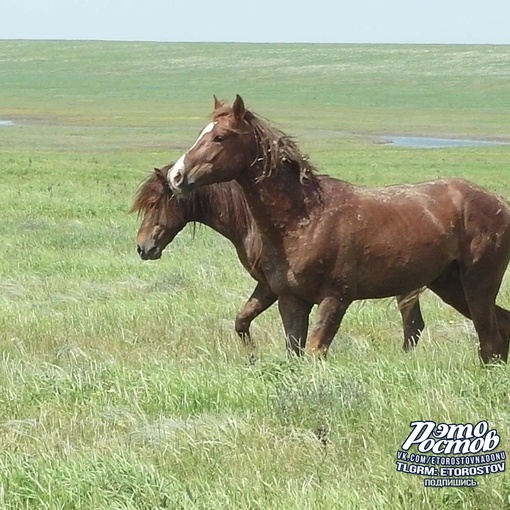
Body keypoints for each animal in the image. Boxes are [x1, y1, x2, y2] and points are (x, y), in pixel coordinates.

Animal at [132, 164, 426, 354]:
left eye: (155, 202)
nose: (143, 247)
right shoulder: (270, 287)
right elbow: (241, 321)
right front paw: (252, 356)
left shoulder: (274, 288)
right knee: (414, 326)